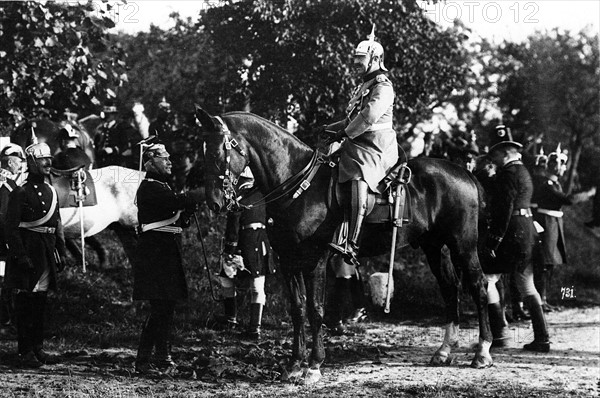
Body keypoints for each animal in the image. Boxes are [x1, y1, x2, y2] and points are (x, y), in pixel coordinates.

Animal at [197, 106, 492, 382]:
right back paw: (444, 351)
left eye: (217, 153)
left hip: (463, 245)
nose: (214, 202)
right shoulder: (288, 261)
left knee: (479, 286)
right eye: (203, 154)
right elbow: (297, 309)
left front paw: (314, 366)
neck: (297, 184)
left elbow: (315, 310)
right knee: (449, 287)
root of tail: (464, 172)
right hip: (434, 247)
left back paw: (482, 352)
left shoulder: (314, 260)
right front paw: (294, 365)